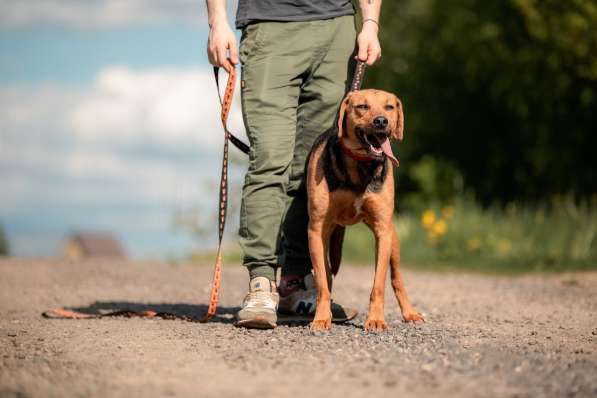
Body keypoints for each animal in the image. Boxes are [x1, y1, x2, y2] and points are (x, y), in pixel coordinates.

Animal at [304, 88, 426, 332]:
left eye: (389, 107)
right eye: (362, 106)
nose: (381, 121)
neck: (360, 163)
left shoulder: (382, 230)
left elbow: (378, 284)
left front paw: (376, 319)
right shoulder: (316, 229)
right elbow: (322, 283)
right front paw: (321, 318)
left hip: (393, 241)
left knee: (397, 279)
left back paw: (410, 313)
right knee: (327, 276)